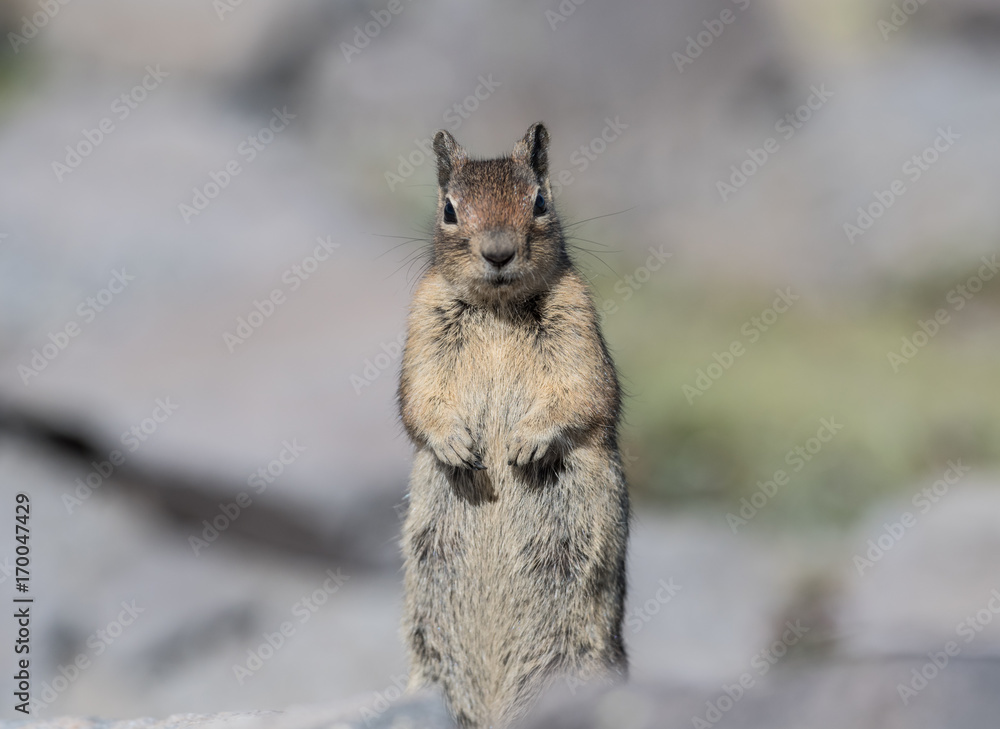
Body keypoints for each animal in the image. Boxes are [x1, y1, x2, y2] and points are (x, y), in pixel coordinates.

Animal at [398, 122, 629, 728]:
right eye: (449, 209)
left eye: (540, 201)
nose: (498, 252)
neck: (498, 309)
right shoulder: (421, 326)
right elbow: (418, 401)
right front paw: (457, 446)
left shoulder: (578, 325)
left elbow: (581, 395)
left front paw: (526, 445)